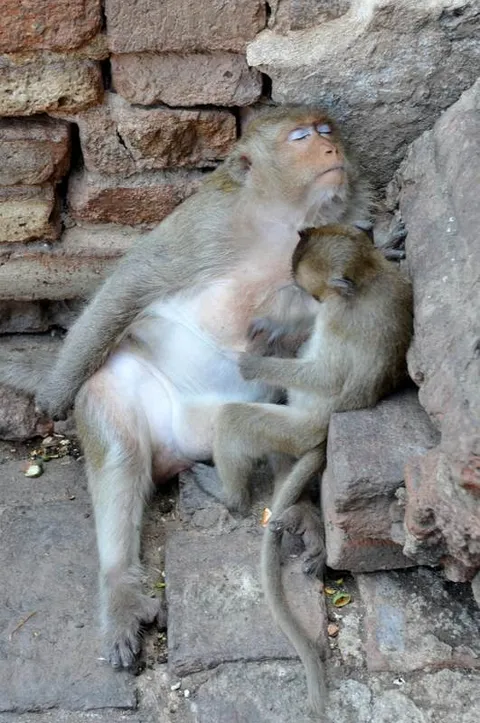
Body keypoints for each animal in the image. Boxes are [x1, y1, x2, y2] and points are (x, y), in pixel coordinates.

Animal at [0, 109, 373, 670]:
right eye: (301, 137)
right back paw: (120, 586)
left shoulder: (344, 230)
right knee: (119, 450)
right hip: (132, 393)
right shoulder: (207, 223)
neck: (278, 220)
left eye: (327, 131)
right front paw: (58, 388)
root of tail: (183, 446)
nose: (331, 151)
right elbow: (133, 282)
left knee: (278, 413)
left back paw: (297, 509)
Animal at [195, 224, 413, 717]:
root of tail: (320, 436)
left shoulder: (338, 319)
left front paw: (253, 359)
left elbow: (327, 376)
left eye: (309, 289)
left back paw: (228, 495)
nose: (302, 296)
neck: (368, 279)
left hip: (297, 428)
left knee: (238, 419)